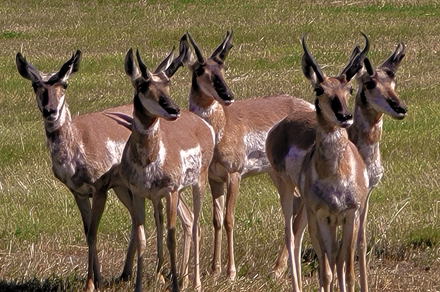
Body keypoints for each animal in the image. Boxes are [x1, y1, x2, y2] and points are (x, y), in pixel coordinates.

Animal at [15, 52, 136, 288]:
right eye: (35, 85)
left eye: (64, 83)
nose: (50, 111)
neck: (78, 140)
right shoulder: (78, 192)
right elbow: (88, 232)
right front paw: (97, 279)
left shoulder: (99, 189)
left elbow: (94, 233)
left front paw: (90, 284)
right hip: (124, 189)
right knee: (139, 220)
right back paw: (126, 274)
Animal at [87, 41, 214, 292]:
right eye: (143, 86)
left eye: (167, 83)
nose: (173, 110)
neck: (148, 158)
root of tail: (199, 122)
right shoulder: (139, 194)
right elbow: (141, 239)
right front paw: (139, 286)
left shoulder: (171, 191)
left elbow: (171, 238)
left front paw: (175, 286)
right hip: (162, 197)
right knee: (175, 222)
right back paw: (170, 276)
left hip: (198, 184)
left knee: (195, 224)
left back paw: (194, 283)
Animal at [180, 30, 314, 280]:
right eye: (200, 70)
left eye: (222, 67)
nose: (227, 94)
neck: (221, 125)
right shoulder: (215, 178)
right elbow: (216, 220)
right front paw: (214, 269)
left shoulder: (234, 174)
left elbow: (229, 219)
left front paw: (230, 272)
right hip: (276, 174)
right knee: (295, 203)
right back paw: (278, 268)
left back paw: (278, 269)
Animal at [270, 36, 408, 292]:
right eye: (370, 84)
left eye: (393, 81)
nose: (400, 108)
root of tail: (281, 124)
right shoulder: (328, 213)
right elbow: (334, 260)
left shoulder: (361, 202)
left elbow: (354, 247)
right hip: (287, 190)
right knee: (292, 236)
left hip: (306, 205)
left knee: (303, 235)